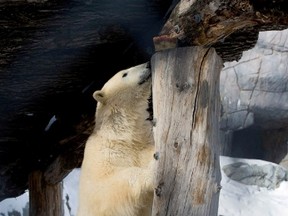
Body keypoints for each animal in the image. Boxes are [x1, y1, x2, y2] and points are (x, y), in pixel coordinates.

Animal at [76, 62, 155, 216]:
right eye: (124, 74)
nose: (148, 64)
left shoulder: (142, 141)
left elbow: (147, 152)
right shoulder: (103, 154)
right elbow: (110, 186)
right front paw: (152, 174)